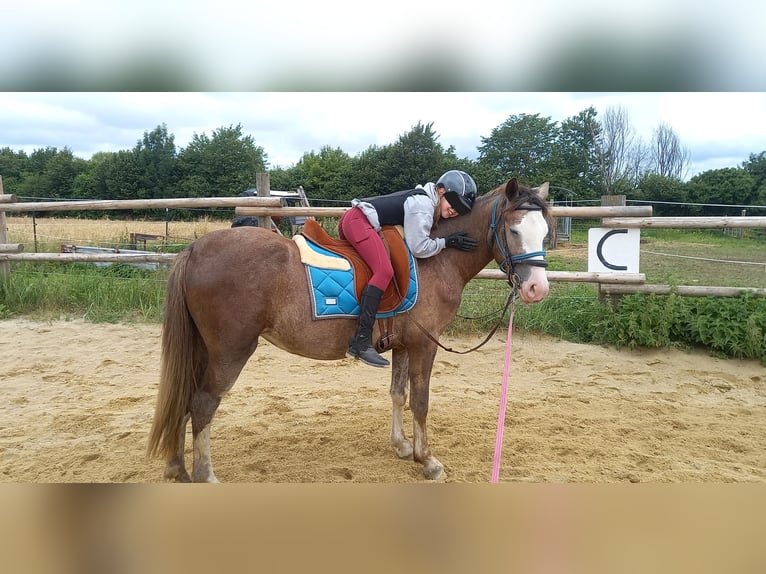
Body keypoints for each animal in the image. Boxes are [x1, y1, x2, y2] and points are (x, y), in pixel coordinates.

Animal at [146, 178, 552, 484]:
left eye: (545, 232)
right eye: (514, 229)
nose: (537, 289)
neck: (435, 262)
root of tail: (194, 249)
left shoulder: (403, 344)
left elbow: (398, 394)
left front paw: (403, 447)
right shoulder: (424, 344)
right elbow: (420, 401)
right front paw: (427, 459)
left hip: (203, 348)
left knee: (184, 398)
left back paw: (177, 469)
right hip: (230, 350)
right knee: (203, 403)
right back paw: (205, 475)